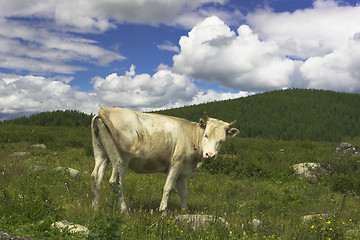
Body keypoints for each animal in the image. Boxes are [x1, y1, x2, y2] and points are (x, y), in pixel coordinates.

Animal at [91, 108, 240, 213]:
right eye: (206, 135)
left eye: (222, 140)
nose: (210, 155)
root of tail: (107, 110)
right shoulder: (176, 164)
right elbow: (168, 187)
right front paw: (163, 210)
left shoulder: (182, 171)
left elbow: (183, 192)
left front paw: (185, 211)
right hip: (120, 160)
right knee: (115, 182)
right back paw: (123, 210)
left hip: (102, 154)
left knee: (96, 177)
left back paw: (95, 207)